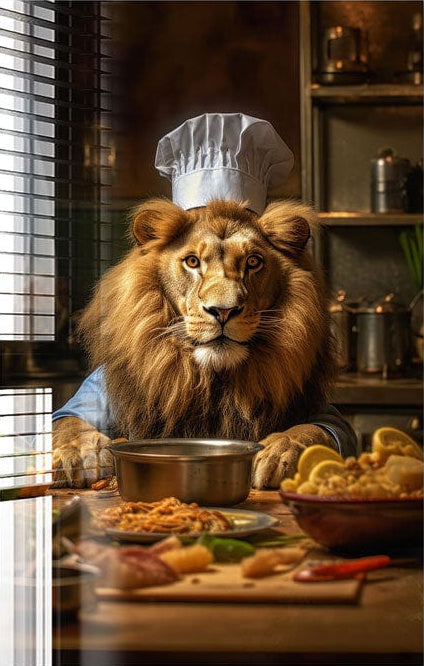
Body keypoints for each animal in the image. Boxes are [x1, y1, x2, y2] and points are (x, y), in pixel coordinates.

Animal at [52, 197, 356, 489]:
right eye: (192, 262)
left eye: (253, 262)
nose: (223, 311)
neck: (210, 379)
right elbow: (67, 419)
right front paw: (79, 453)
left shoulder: (323, 411)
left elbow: (316, 430)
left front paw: (281, 451)